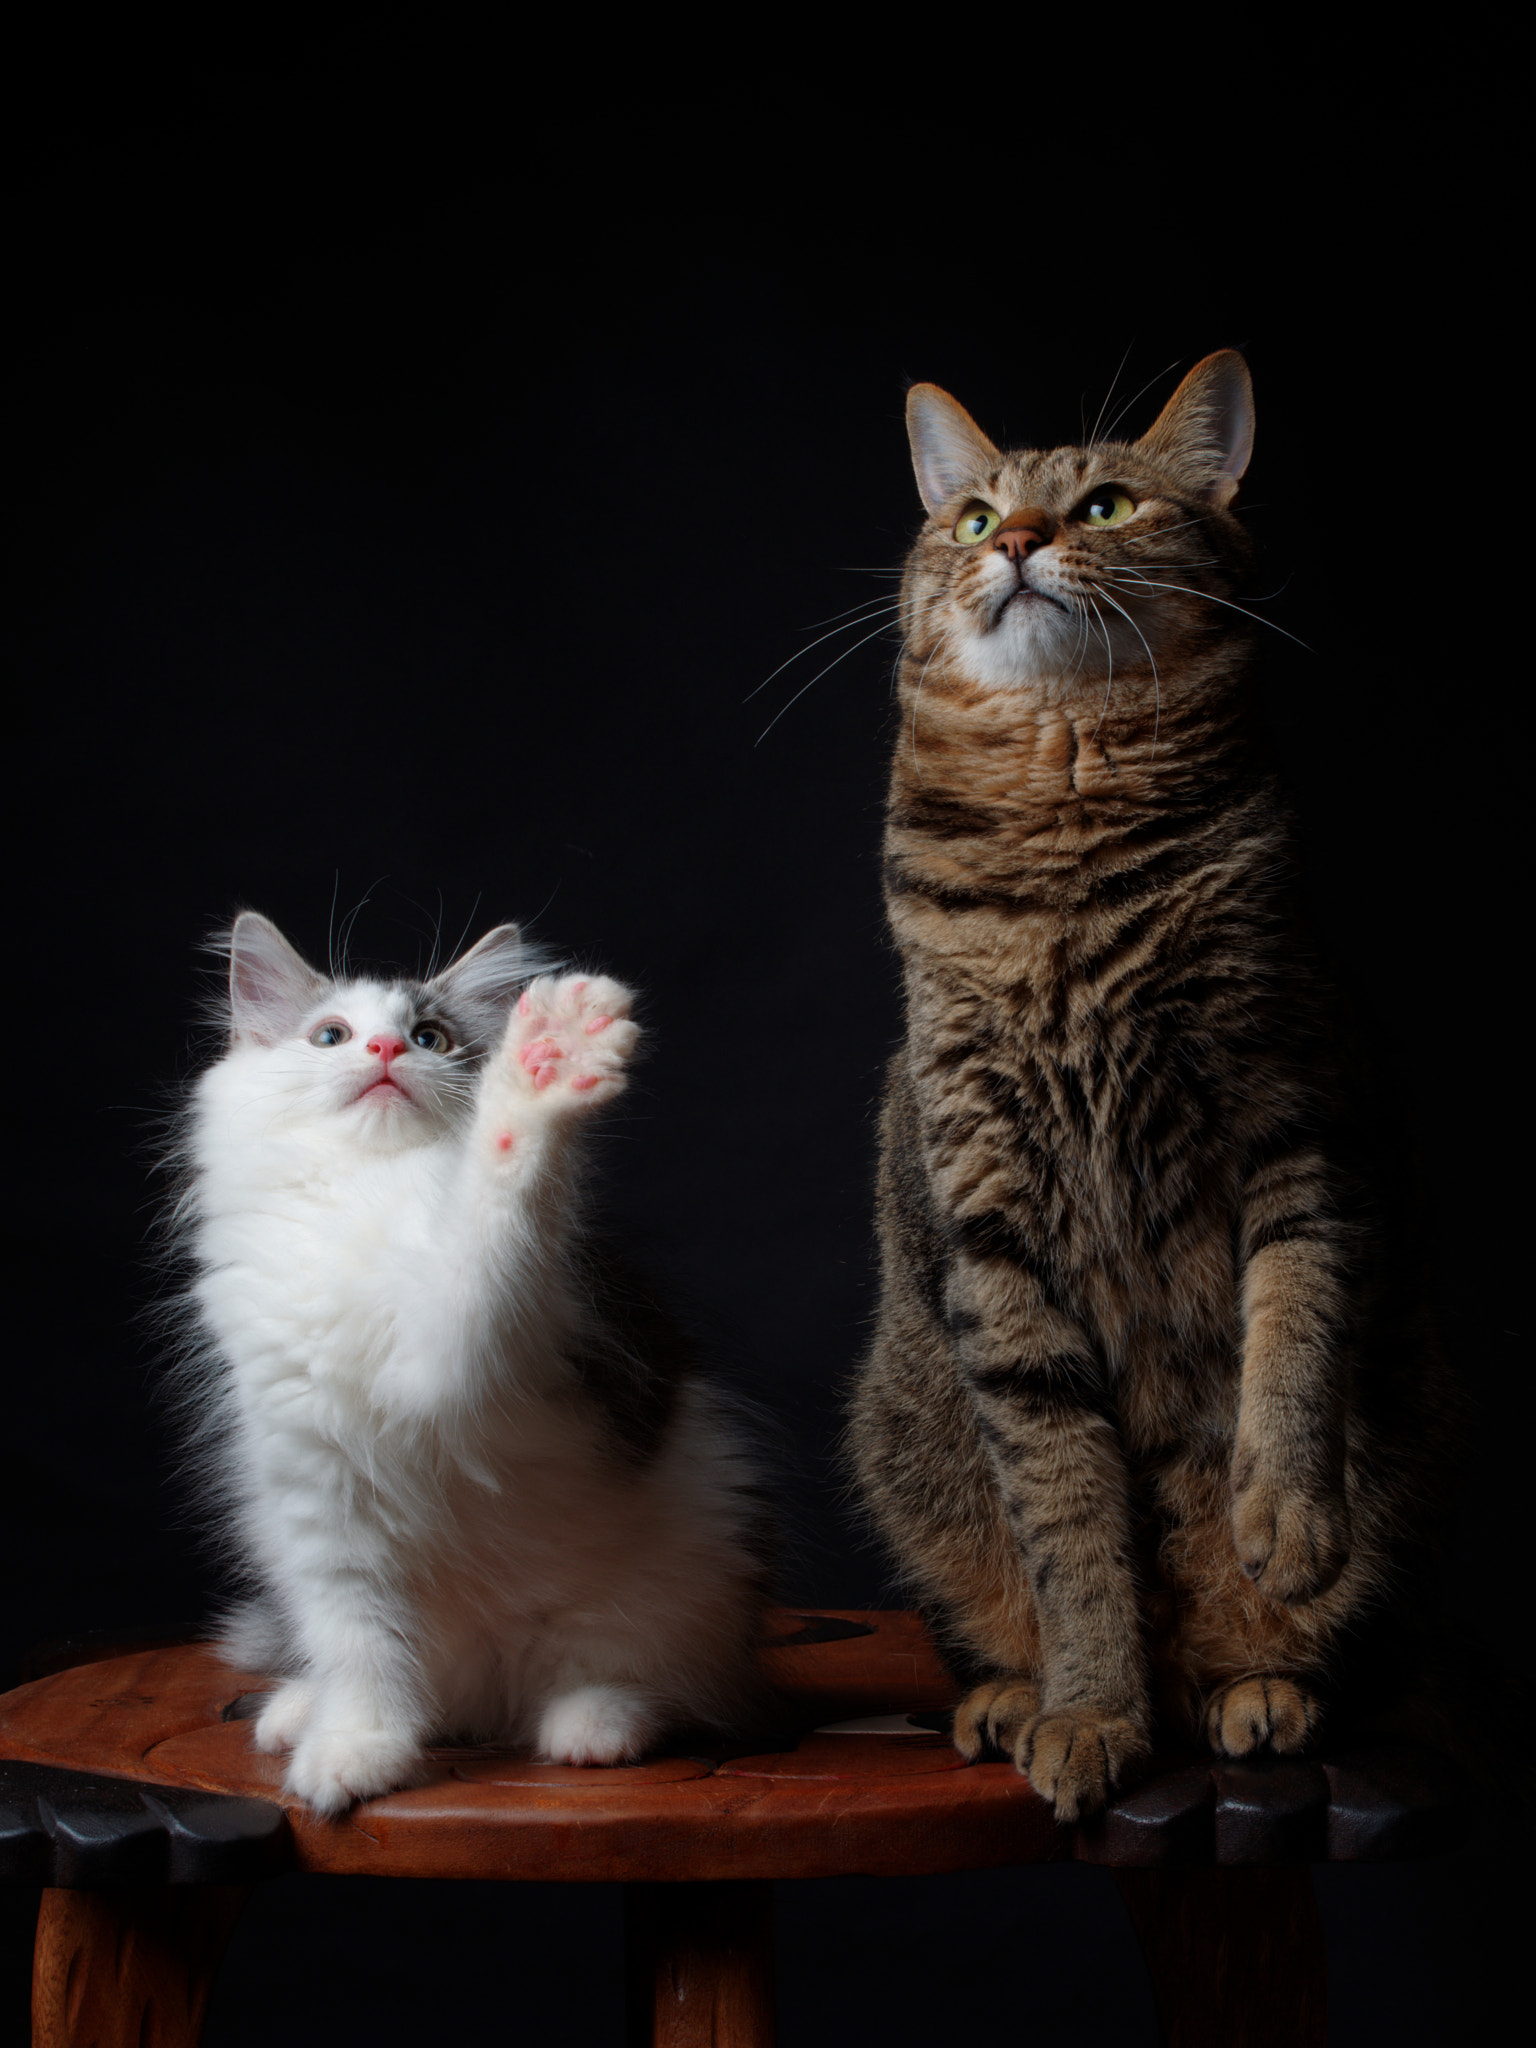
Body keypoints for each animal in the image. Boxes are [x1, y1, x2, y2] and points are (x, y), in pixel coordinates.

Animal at [180, 921, 770, 1818]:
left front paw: (548, 1061)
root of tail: (493, 1698)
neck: (366, 1190)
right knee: (408, 1682)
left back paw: (598, 1724)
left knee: (653, 1682)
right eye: (331, 1036)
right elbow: (360, 1647)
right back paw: (301, 1709)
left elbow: (487, 1216)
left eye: (432, 1038)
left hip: (681, 1576)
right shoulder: (321, 1502)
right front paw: (356, 1748)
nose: (386, 1048)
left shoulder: (466, 1354)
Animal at [847, 352, 1458, 1826]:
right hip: (908, 1442)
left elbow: (1292, 1339)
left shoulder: (1298, 1121)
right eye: (971, 517)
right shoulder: (989, 1224)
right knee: (1007, 1597)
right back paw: (1019, 1699)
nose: (1015, 540)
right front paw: (1088, 1711)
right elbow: (1070, 1524)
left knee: (1286, 1642)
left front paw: (1282, 1514)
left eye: (1106, 504)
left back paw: (1260, 1683)